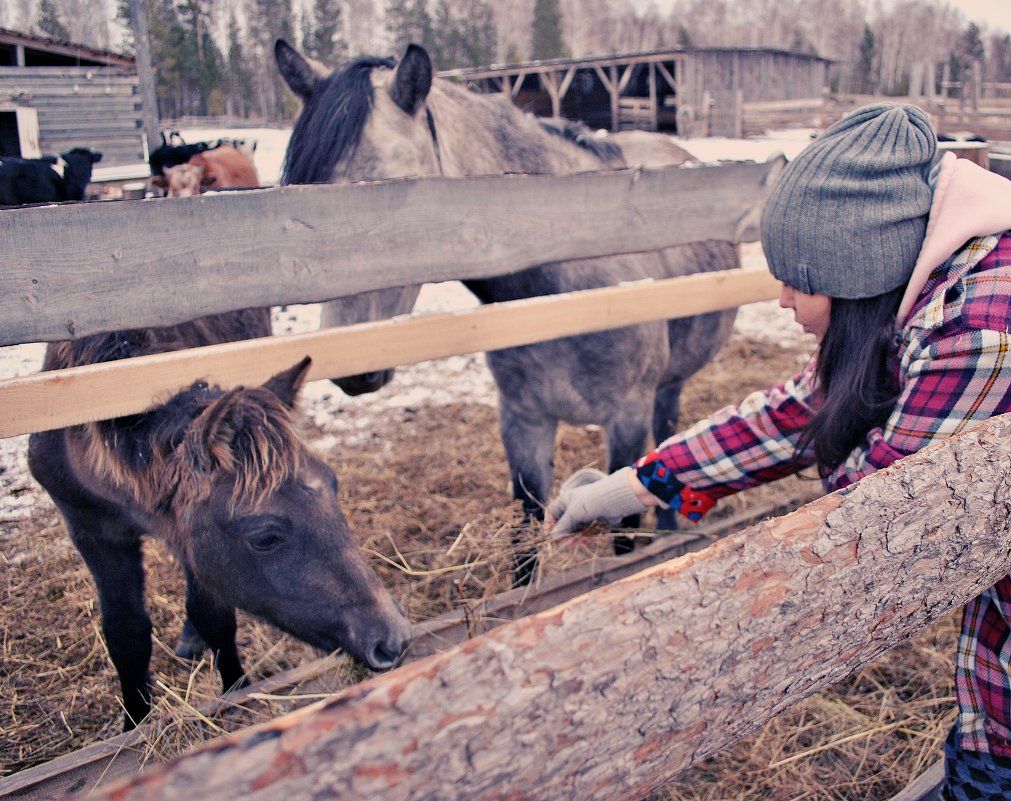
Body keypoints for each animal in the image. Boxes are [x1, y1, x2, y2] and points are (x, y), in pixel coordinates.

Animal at [281, 42, 740, 570]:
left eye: (393, 190)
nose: (355, 370)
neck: (563, 295)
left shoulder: (626, 418)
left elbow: (625, 528)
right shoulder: (523, 421)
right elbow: (524, 536)